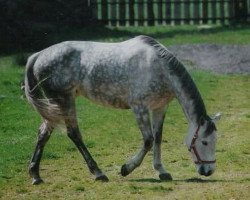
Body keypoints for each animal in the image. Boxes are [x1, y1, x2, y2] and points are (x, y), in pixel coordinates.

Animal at [24, 35, 221, 184]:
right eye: (204, 142)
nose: (208, 170)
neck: (158, 67)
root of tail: (38, 55)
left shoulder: (159, 107)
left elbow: (157, 139)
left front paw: (161, 171)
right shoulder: (139, 108)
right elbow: (148, 140)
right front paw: (126, 168)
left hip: (53, 107)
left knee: (43, 134)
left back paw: (36, 176)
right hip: (64, 101)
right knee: (73, 134)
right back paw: (98, 173)